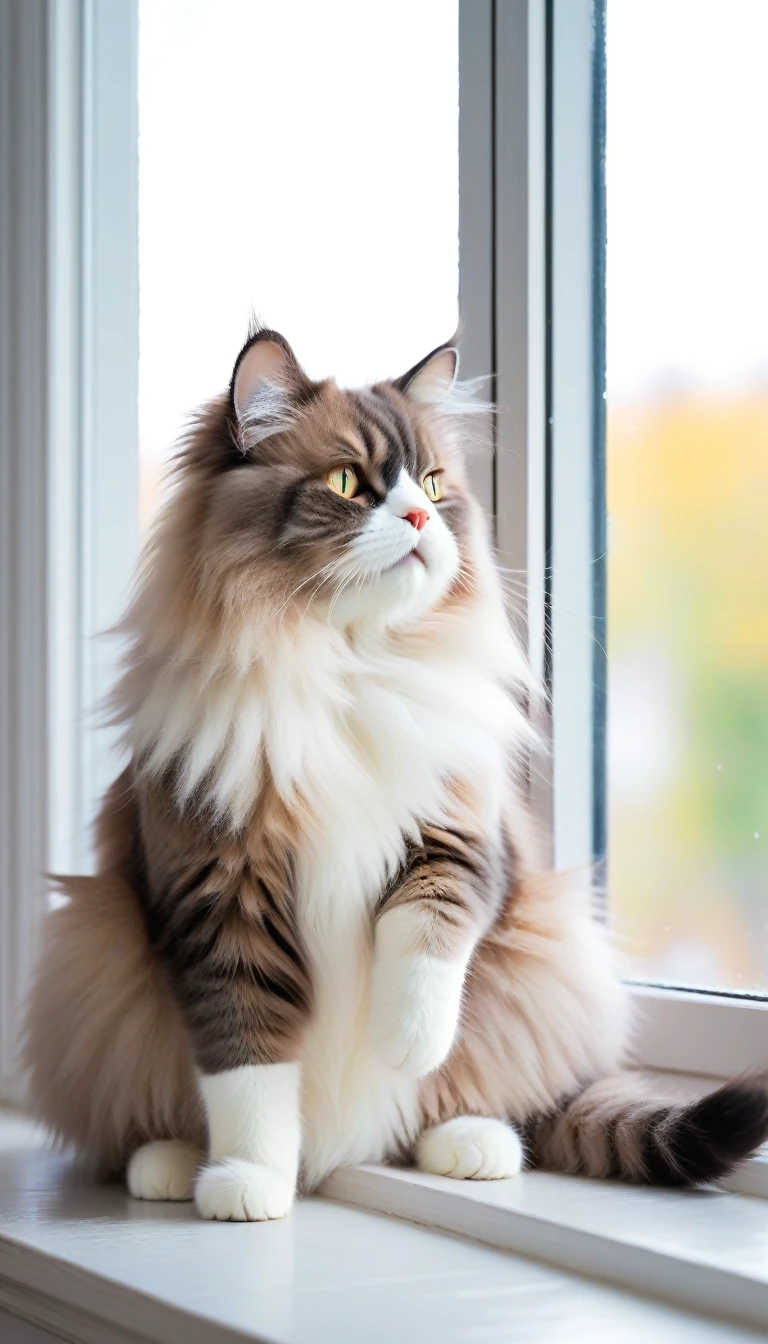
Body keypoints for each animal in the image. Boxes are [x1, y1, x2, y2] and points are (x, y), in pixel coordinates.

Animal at [24, 322, 768, 1220]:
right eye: (350, 482)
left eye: (436, 486)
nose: (417, 515)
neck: (350, 663)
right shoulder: (223, 898)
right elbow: (248, 1068)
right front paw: (249, 1185)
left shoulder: (459, 842)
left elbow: (422, 947)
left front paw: (402, 1041)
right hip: (95, 943)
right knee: (156, 1117)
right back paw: (170, 1167)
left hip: (538, 951)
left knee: (475, 1104)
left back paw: (471, 1143)